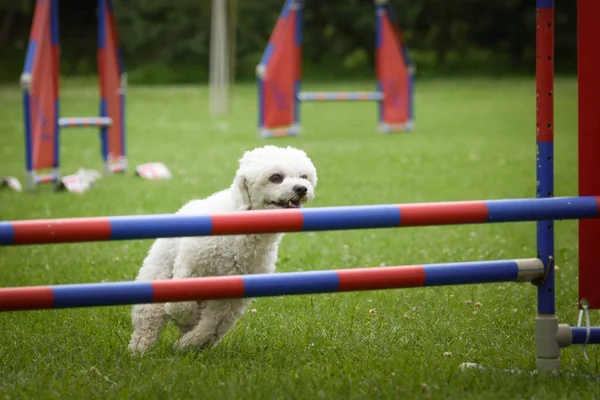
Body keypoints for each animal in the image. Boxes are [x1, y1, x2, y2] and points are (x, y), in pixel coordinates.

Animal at [128, 145, 316, 354]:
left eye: (304, 176)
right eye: (275, 177)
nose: (301, 189)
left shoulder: (233, 293)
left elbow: (212, 325)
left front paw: (188, 343)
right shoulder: (190, 267)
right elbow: (180, 305)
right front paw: (184, 317)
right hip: (158, 273)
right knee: (148, 319)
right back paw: (139, 349)